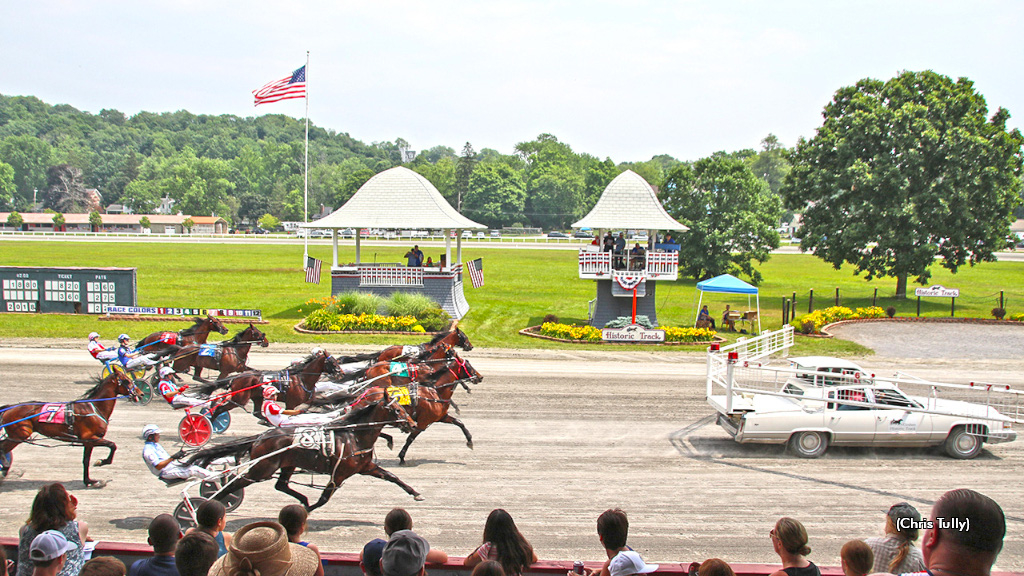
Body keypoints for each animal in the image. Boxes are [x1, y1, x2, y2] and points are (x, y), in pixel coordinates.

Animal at [0, 364, 142, 481]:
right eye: (127, 381)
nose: (140, 394)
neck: (94, 407)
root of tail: (10, 407)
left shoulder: (88, 441)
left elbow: (86, 460)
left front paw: (89, 481)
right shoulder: (90, 437)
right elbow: (112, 445)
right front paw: (102, 461)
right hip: (19, 434)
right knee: (2, 448)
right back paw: (5, 467)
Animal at [190, 389, 417, 510]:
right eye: (397, 410)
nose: (413, 424)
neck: (354, 435)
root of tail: (261, 438)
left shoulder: (366, 466)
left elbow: (392, 477)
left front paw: (415, 493)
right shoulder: (340, 473)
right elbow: (325, 497)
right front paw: (308, 511)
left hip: (287, 464)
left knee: (280, 485)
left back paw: (303, 499)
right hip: (262, 468)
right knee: (236, 484)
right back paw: (207, 505)